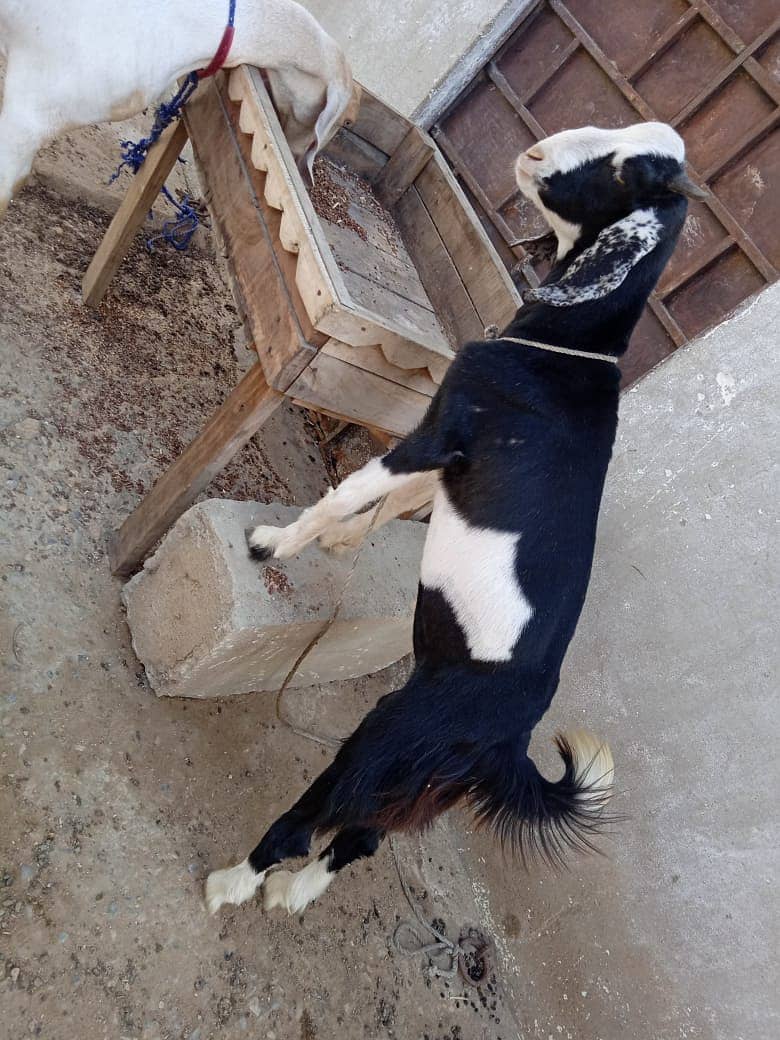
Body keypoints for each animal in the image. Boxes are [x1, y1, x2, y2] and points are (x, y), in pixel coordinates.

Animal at [205, 123, 703, 919]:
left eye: (626, 171)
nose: (534, 153)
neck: (568, 349)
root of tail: (507, 741)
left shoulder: (442, 429)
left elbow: (352, 489)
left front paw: (274, 543)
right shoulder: (449, 456)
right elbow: (388, 503)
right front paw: (340, 543)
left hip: (386, 738)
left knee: (315, 817)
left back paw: (235, 882)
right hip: (421, 777)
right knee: (363, 835)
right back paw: (292, 893)